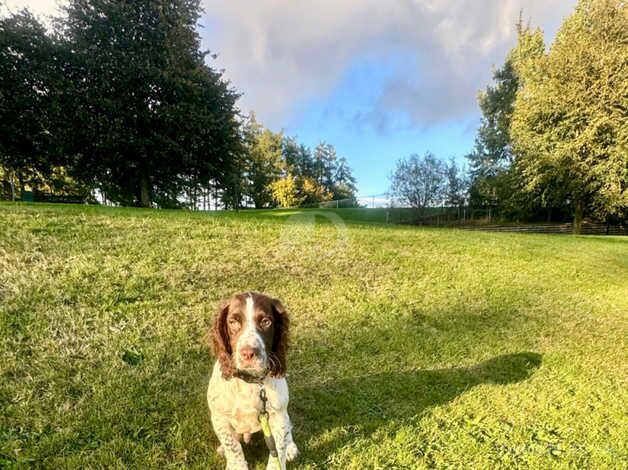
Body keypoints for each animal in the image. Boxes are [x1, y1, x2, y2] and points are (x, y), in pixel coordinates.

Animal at [206, 292, 300, 468]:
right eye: (233, 322)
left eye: (266, 322)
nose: (248, 353)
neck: (250, 381)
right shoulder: (220, 418)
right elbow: (233, 446)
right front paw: (235, 464)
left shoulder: (278, 417)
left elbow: (278, 450)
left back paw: (291, 447)